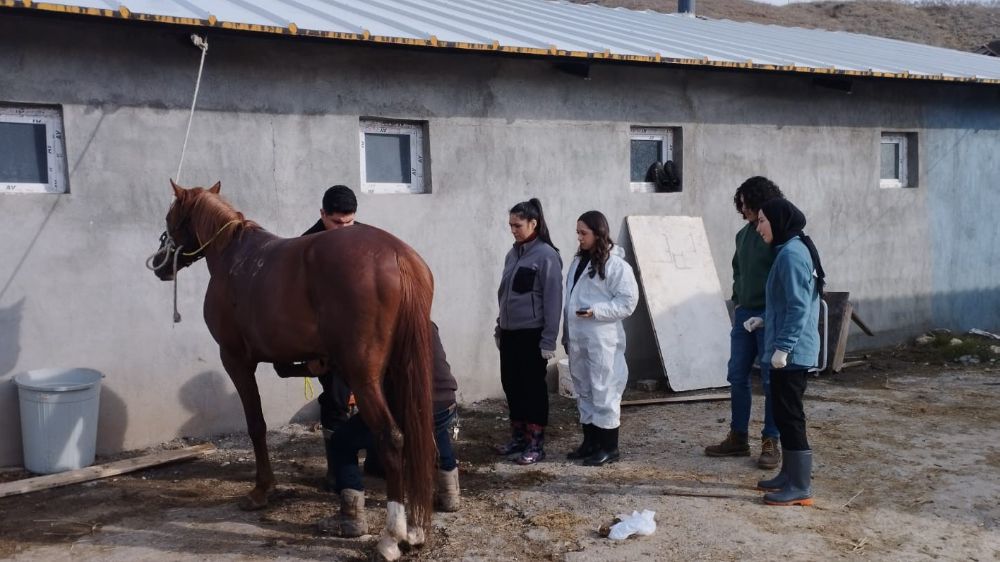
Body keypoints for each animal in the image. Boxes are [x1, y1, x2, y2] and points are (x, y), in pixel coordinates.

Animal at [148, 179, 434, 556]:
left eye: (170, 218)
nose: (158, 264)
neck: (233, 257)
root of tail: (397, 255)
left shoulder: (235, 360)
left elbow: (256, 425)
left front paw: (261, 490)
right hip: (401, 371)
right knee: (414, 432)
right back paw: (414, 529)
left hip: (366, 377)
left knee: (392, 437)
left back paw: (391, 535)